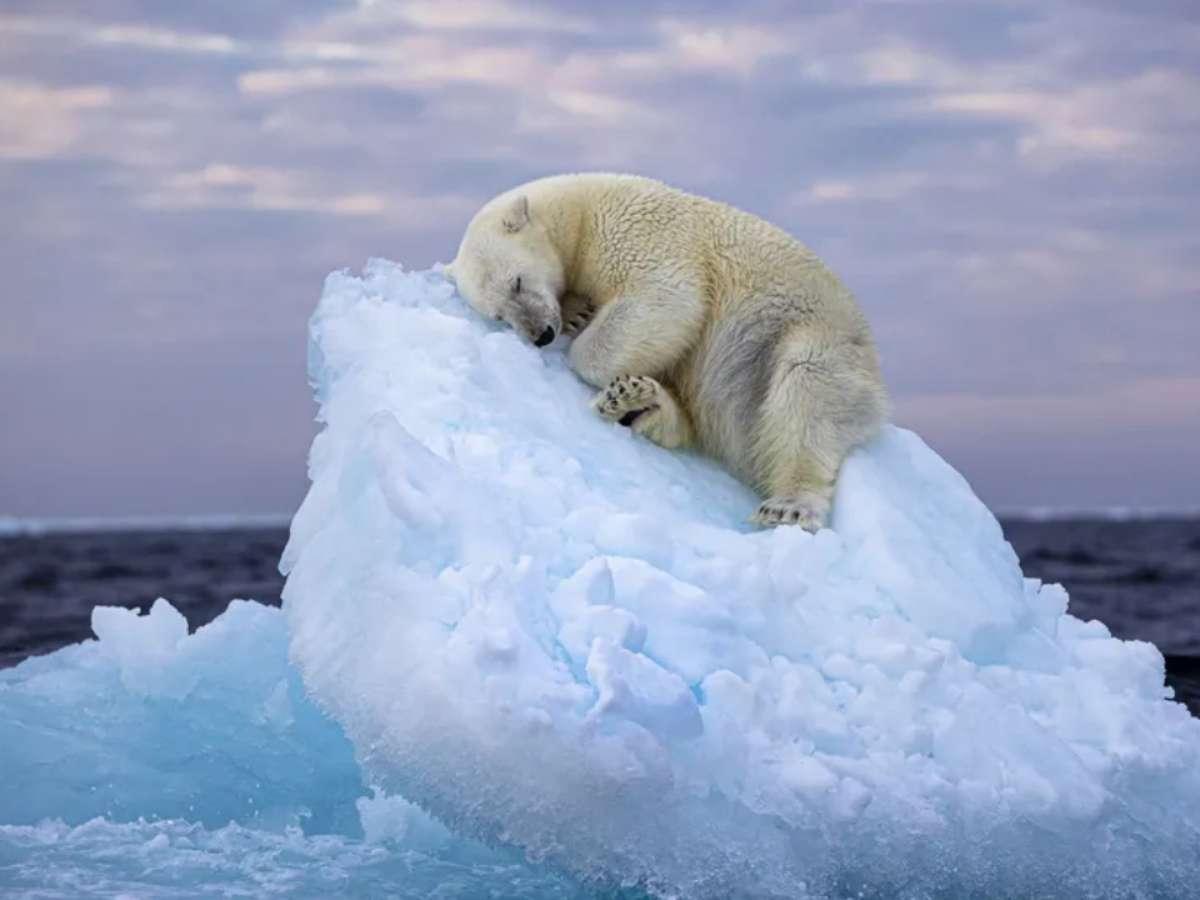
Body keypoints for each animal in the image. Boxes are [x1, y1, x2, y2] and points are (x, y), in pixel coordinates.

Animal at [446, 172, 888, 532]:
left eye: (517, 282)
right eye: (499, 315)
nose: (540, 334)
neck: (580, 210)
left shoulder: (637, 231)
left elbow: (667, 297)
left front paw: (583, 336)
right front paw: (577, 313)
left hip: (812, 337)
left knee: (807, 392)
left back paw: (788, 505)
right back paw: (637, 402)